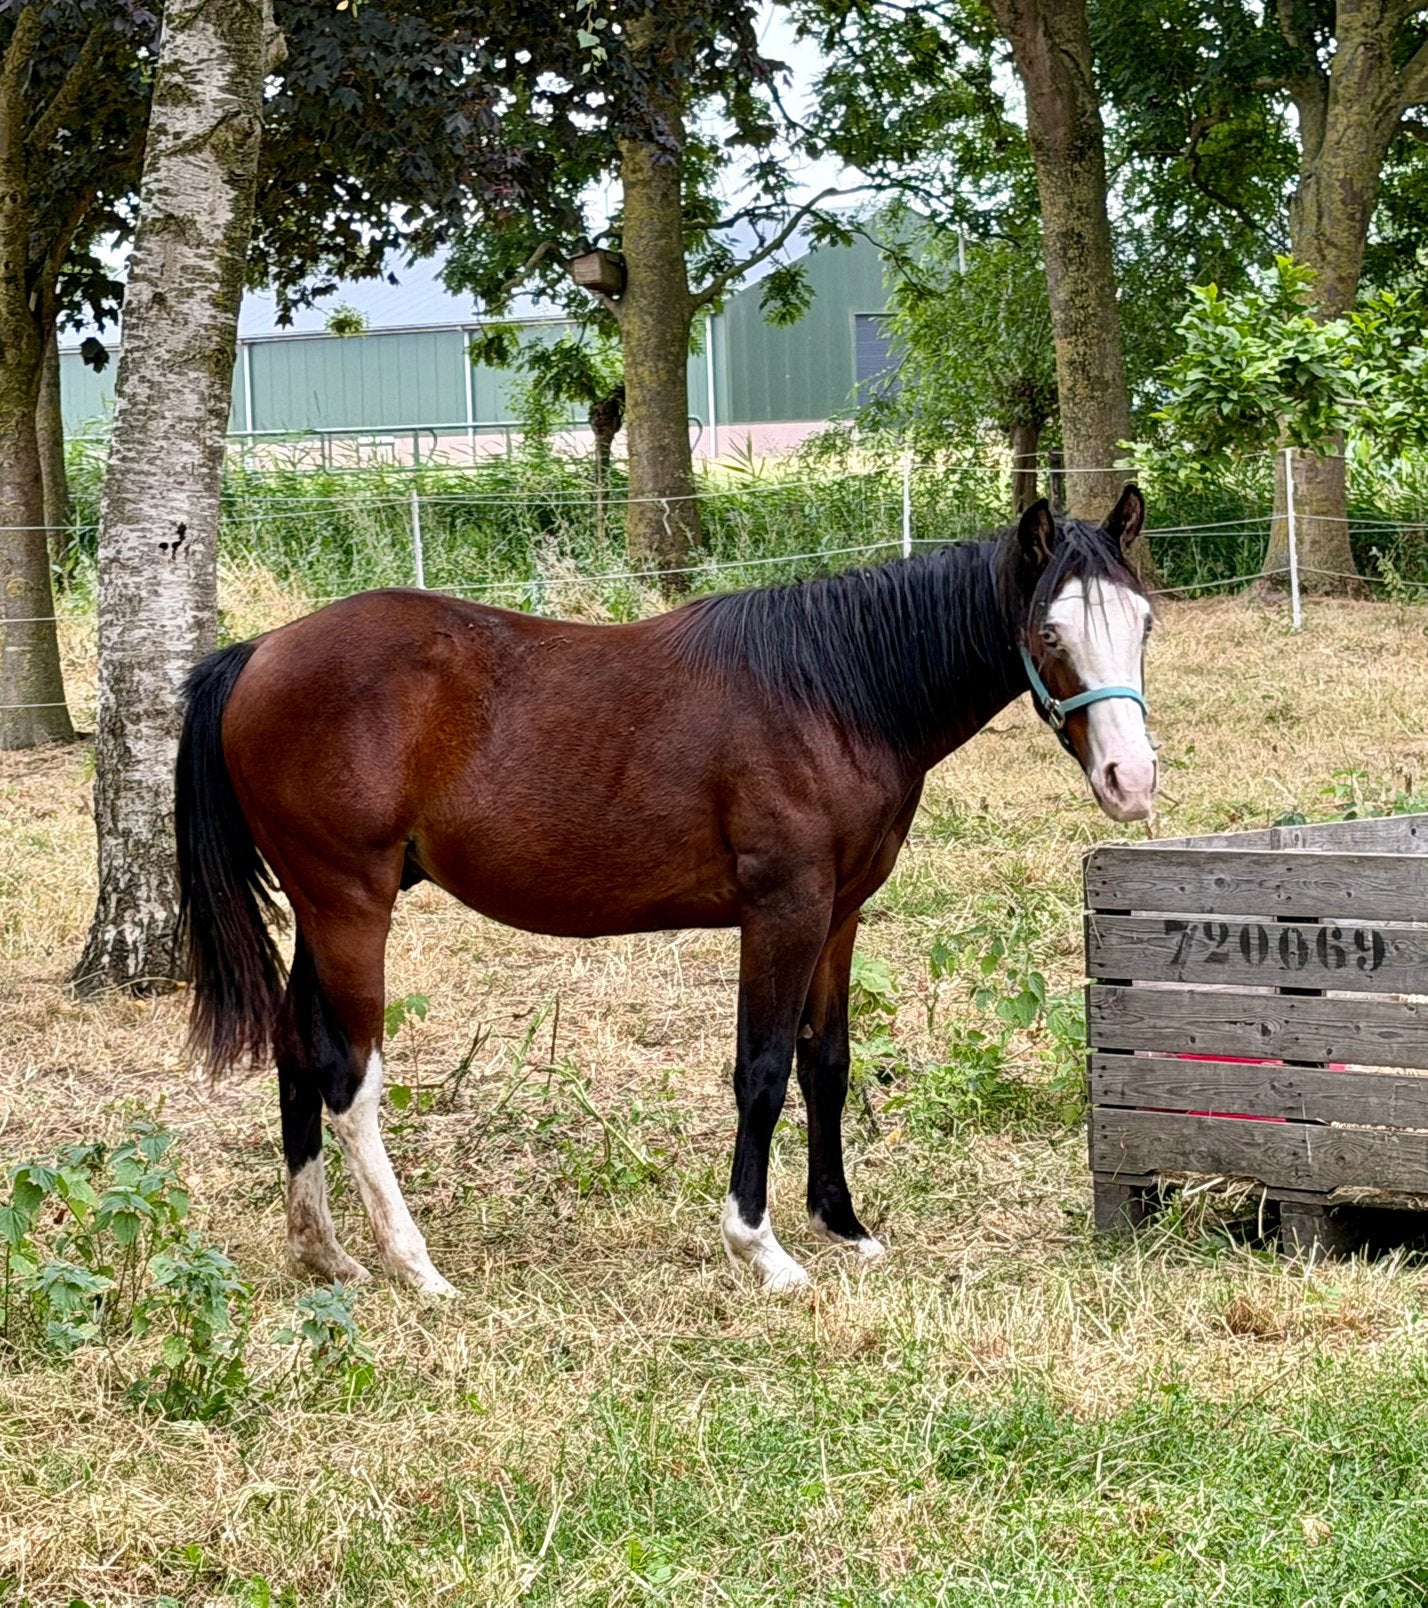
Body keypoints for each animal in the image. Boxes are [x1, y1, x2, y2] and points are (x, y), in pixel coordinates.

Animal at [174, 488, 1157, 1295]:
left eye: (1143, 624)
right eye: (1049, 635)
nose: (1131, 779)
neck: (832, 692)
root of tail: (259, 653)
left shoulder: (839, 914)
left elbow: (826, 1064)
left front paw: (843, 1224)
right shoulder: (782, 912)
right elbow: (761, 1070)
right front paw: (760, 1247)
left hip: (320, 912)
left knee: (297, 1055)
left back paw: (323, 1253)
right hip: (350, 908)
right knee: (349, 1082)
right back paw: (414, 1266)